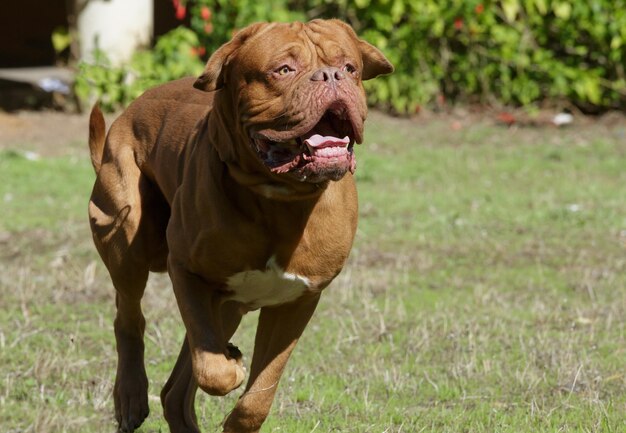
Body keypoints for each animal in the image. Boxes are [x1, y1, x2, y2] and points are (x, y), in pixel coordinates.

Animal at [88, 19, 390, 432]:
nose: (331, 76)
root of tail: (129, 110)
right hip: (127, 237)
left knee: (176, 391)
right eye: (283, 70)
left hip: (226, 303)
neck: (281, 197)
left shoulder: (298, 299)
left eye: (350, 68)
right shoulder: (186, 271)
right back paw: (131, 397)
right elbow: (213, 371)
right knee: (129, 317)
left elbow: (259, 393)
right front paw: (231, 365)